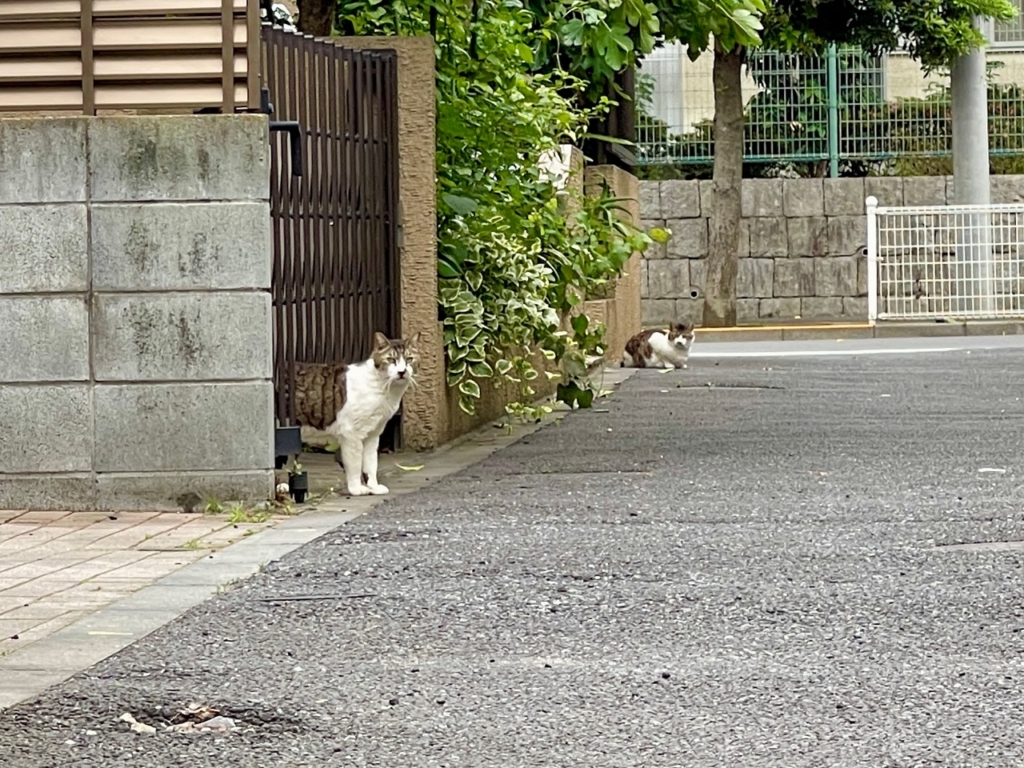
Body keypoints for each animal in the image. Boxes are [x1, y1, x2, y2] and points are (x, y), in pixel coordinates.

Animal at [292, 331, 420, 497]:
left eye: (409, 359)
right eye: (391, 359)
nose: (402, 371)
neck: (384, 388)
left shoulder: (373, 434)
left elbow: (371, 463)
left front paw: (373, 487)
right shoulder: (351, 434)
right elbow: (355, 465)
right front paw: (357, 489)